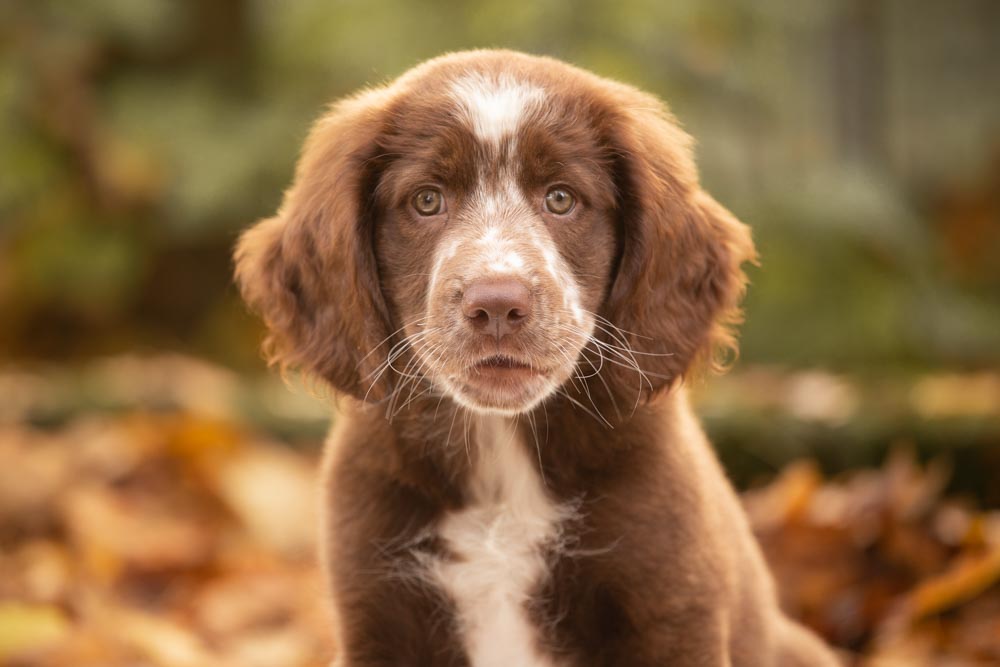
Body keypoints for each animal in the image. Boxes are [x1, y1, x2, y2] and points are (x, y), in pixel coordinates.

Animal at [232, 51, 836, 667]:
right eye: (426, 200)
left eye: (562, 198)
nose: (497, 304)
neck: (502, 458)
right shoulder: (376, 612)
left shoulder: (671, 606)